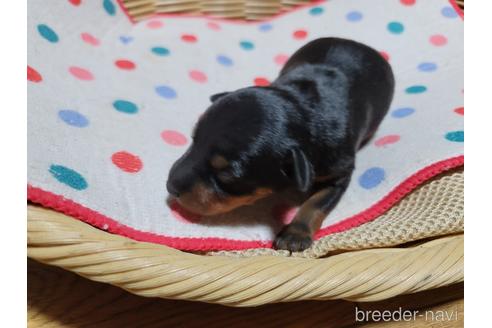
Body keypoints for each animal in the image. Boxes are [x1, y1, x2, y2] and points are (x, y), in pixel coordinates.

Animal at [167, 37, 394, 251]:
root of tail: (356, 43)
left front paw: (295, 234)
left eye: (227, 174)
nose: (170, 186)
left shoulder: (339, 173)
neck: (302, 108)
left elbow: (316, 203)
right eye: (193, 140)